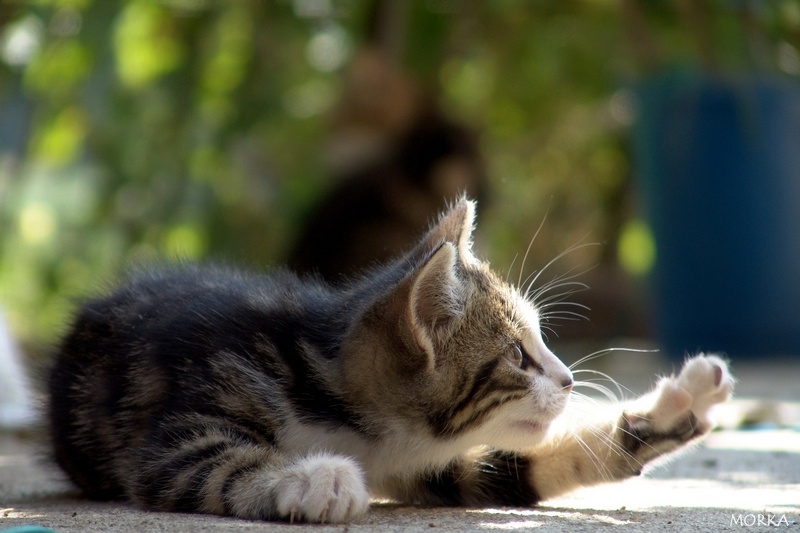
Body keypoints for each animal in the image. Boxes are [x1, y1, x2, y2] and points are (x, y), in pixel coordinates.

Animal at [47, 197, 736, 520]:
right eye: (519, 354)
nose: (568, 380)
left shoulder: (431, 463)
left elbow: (515, 468)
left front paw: (675, 408)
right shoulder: (190, 418)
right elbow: (213, 465)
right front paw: (312, 478)